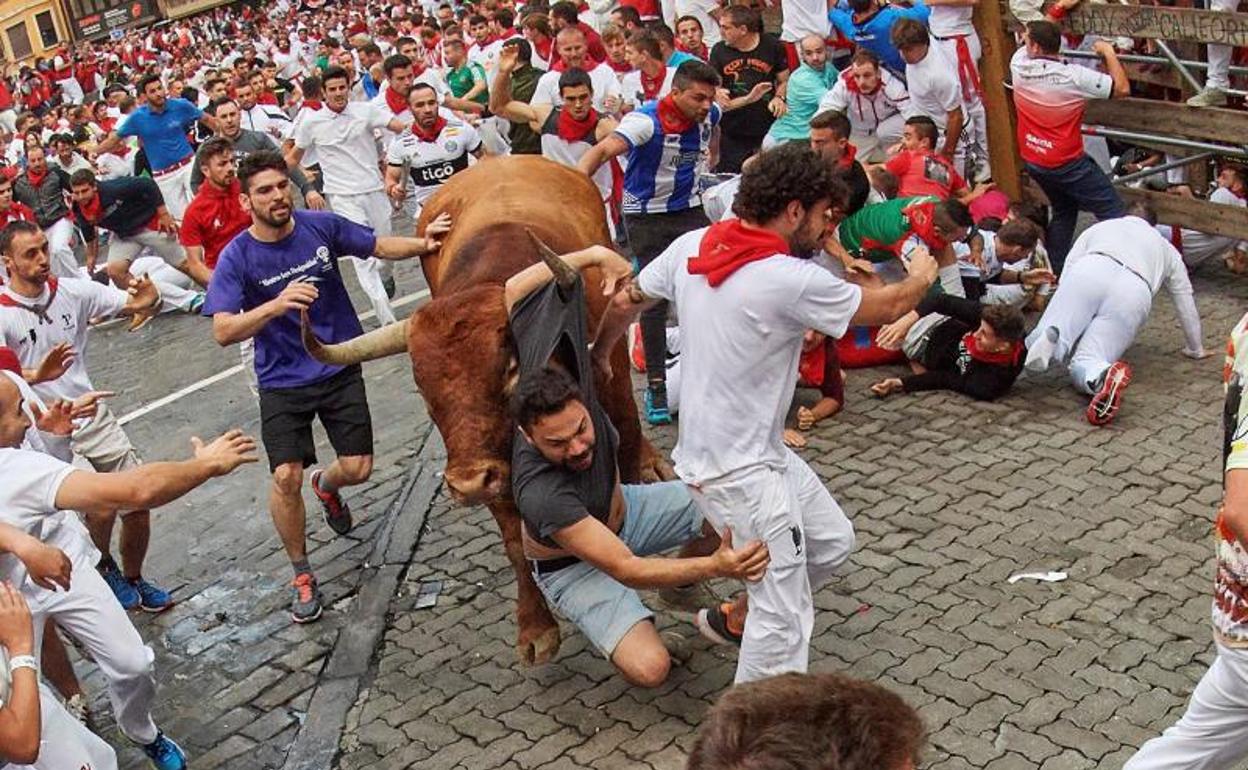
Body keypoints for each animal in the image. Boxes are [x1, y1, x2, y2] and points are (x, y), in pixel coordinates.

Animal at [302, 154, 673, 658]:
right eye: (422, 388)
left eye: (510, 369)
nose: (466, 483)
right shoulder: (497, 460)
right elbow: (516, 539)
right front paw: (535, 628)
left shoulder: (610, 374)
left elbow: (629, 452)